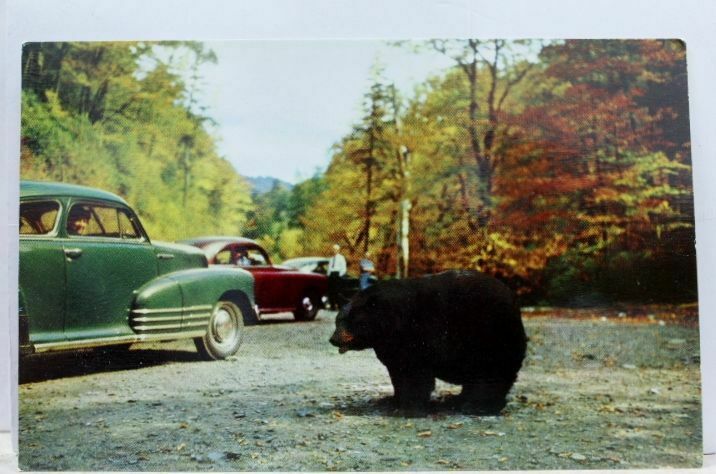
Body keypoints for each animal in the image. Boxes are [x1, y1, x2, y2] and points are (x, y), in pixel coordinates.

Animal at [329, 270, 527, 414]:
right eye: (338, 320)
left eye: (352, 321)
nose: (333, 339)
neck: (391, 322)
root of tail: (514, 302)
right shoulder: (392, 348)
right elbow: (398, 373)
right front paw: (393, 400)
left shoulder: (416, 335)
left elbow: (414, 374)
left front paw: (408, 408)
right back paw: (458, 399)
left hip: (490, 338)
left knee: (491, 376)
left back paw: (477, 406)